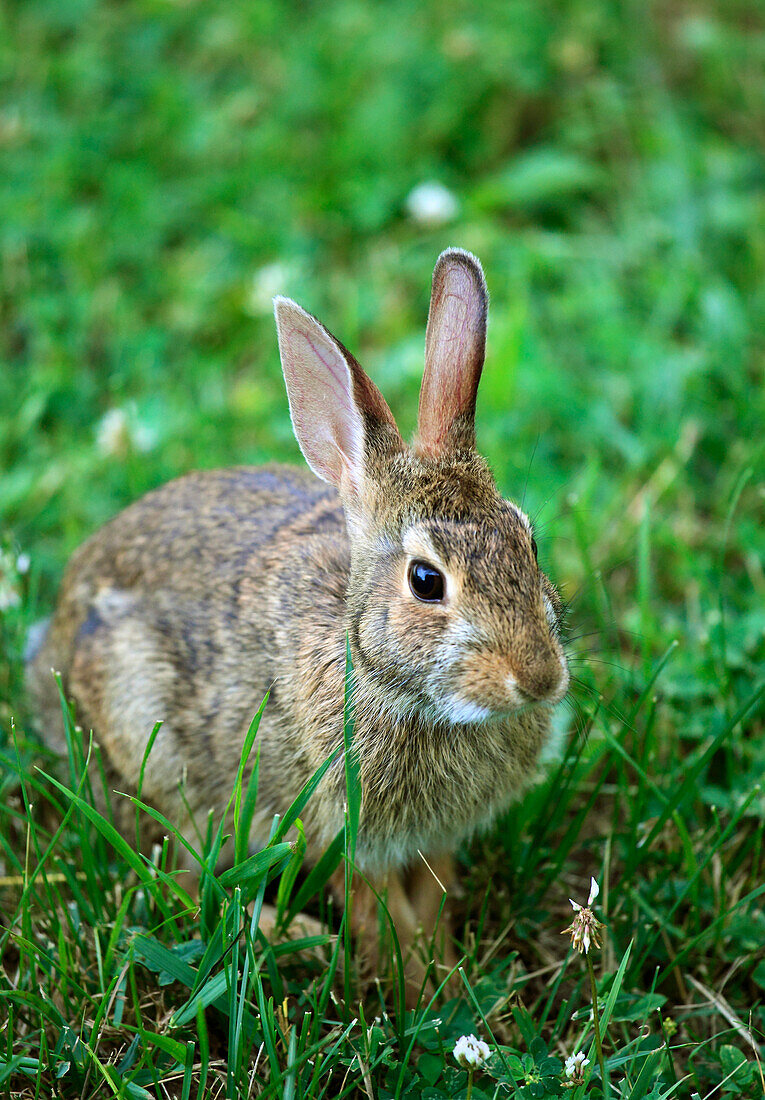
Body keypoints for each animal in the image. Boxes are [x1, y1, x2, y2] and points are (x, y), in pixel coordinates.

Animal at [25, 249, 567, 1007]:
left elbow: (430, 906)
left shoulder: (432, 842)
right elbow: (382, 916)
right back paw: (298, 940)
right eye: (425, 581)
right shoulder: (345, 828)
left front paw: (450, 988)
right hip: (158, 756)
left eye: (527, 539)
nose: (540, 679)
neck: (378, 672)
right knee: (176, 881)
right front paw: (417, 990)